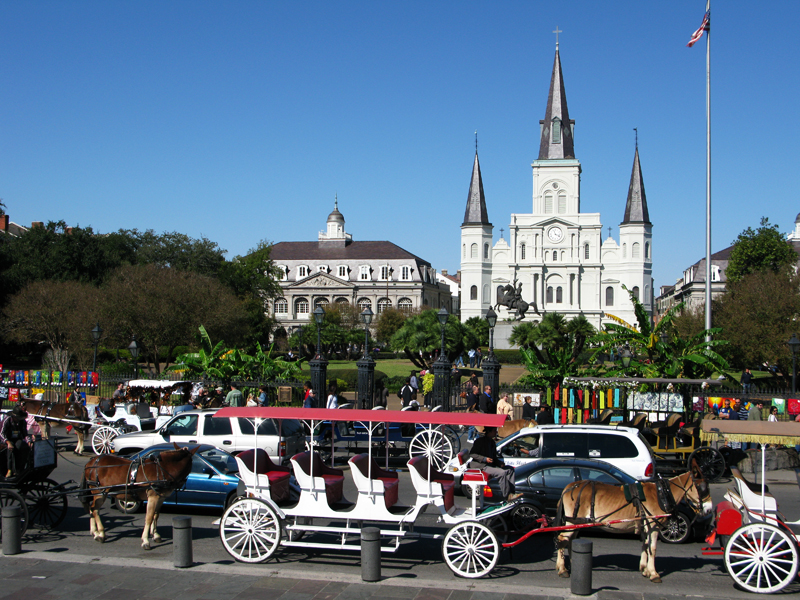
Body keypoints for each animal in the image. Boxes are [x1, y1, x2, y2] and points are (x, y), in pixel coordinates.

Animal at [556, 460, 712, 580]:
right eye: (702, 488)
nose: (709, 509)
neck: (662, 494)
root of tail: (569, 487)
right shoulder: (653, 525)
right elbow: (653, 548)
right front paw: (654, 573)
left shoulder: (646, 525)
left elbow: (645, 545)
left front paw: (645, 569)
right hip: (572, 521)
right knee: (562, 539)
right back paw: (562, 569)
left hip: (577, 522)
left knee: (570, 540)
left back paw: (572, 563)